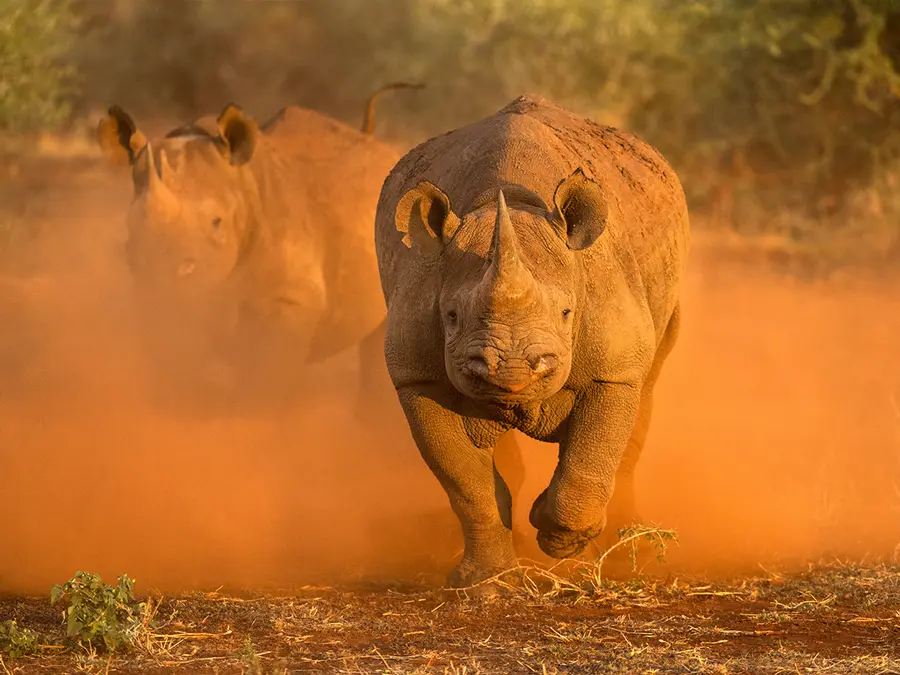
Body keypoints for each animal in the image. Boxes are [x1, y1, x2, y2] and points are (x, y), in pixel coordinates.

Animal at [96, 83, 422, 412]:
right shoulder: (155, 299)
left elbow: (259, 387)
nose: (165, 272)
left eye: (216, 222)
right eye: (131, 224)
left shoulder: (289, 301)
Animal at [375, 94, 691, 587]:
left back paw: (626, 551)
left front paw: (560, 538)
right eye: (451, 316)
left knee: (648, 384)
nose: (511, 369)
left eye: (566, 314)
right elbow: (466, 482)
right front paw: (485, 582)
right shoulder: (416, 377)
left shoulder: (613, 370)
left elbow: (592, 453)